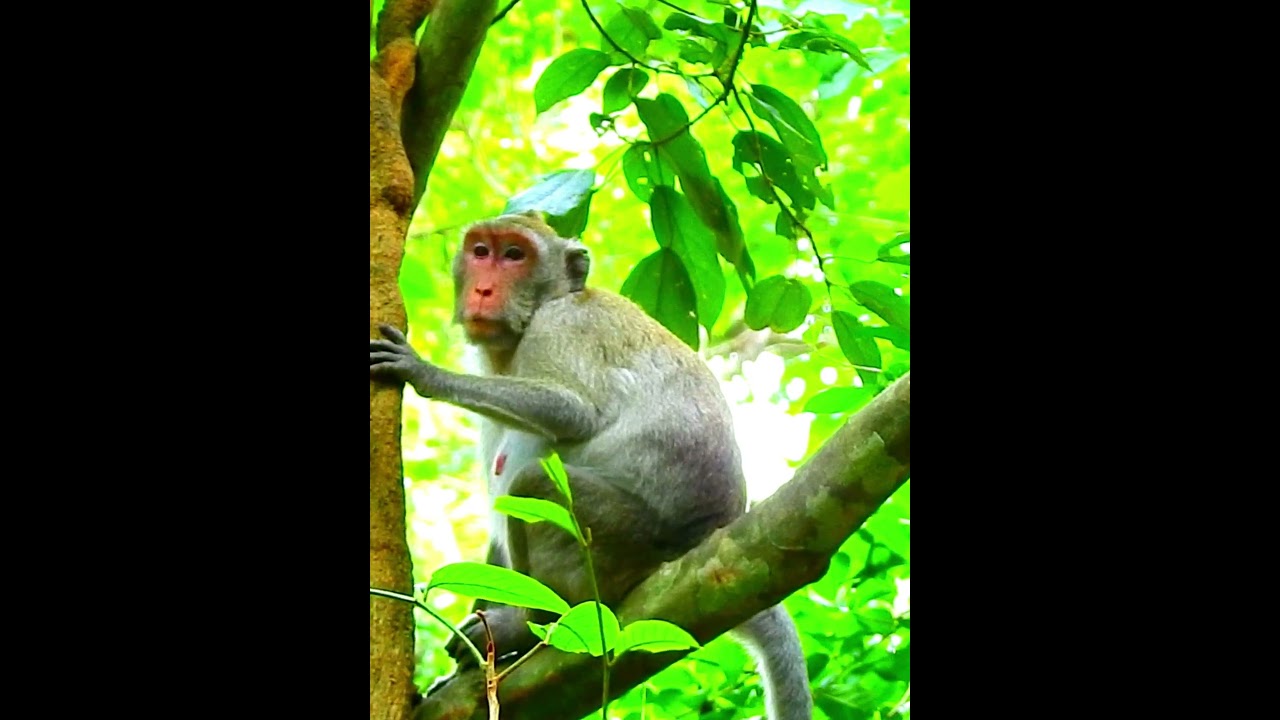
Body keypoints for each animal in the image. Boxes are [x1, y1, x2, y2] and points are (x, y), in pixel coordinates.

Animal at [368, 210, 813, 720]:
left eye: (515, 255)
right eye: (481, 252)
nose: (482, 289)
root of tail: (704, 536)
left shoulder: (563, 327)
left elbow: (572, 411)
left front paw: (424, 372)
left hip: (625, 542)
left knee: (533, 483)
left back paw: (535, 623)